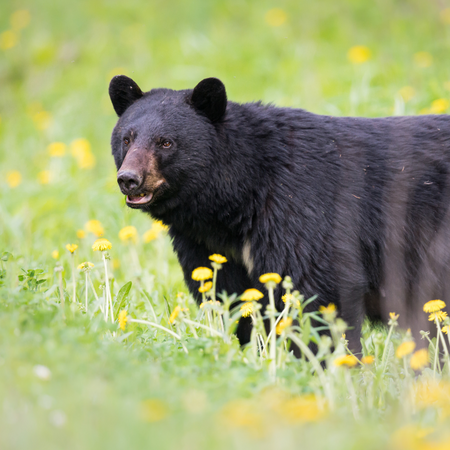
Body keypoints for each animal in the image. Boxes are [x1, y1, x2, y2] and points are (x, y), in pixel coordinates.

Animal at [109, 75, 450, 350]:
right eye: (127, 138)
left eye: (166, 142)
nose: (129, 179)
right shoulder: (208, 246)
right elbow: (231, 297)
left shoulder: (303, 207)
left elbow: (318, 291)